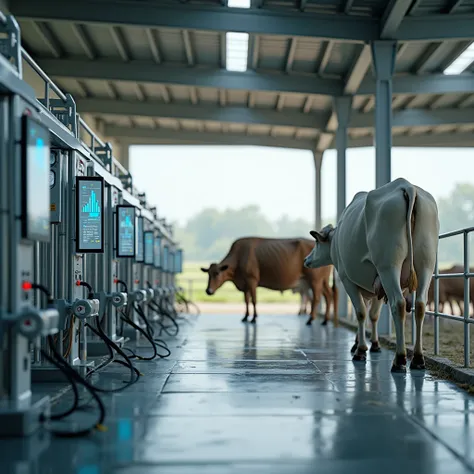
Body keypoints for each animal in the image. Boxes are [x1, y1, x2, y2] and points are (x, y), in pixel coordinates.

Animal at [200, 237, 336, 326]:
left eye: (217, 273)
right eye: (208, 274)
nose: (208, 291)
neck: (239, 257)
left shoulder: (252, 280)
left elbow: (253, 300)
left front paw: (254, 318)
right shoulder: (245, 283)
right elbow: (246, 300)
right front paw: (245, 316)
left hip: (315, 279)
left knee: (316, 298)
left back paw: (311, 319)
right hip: (322, 280)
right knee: (328, 295)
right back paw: (325, 320)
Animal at [302, 178, 438, 374]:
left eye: (316, 243)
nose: (306, 259)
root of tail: (406, 186)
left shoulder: (348, 280)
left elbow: (361, 313)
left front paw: (360, 349)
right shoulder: (374, 287)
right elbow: (372, 314)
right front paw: (371, 344)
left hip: (388, 267)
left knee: (398, 304)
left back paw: (399, 359)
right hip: (425, 264)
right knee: (419, 305)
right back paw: (418, 359)